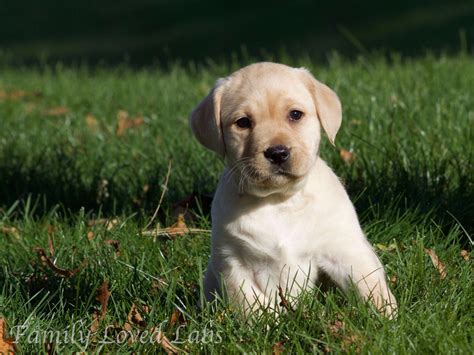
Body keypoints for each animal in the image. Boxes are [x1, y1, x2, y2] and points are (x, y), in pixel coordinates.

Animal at [189, 62, 396, 318]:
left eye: (295, 114)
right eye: (243, 122)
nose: (277, 153)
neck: (280, 201)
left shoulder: (345, 248)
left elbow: (370, 285)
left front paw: (386, 319)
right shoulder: (232, 263)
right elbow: (251, 305)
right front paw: (268, 326)